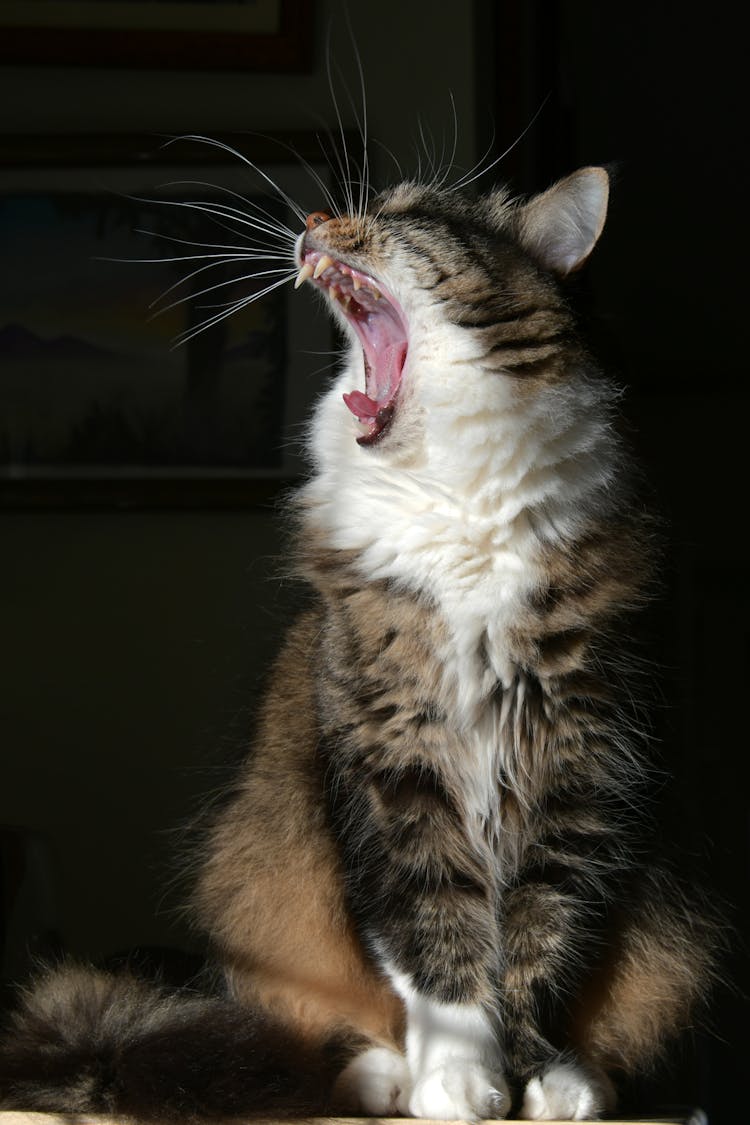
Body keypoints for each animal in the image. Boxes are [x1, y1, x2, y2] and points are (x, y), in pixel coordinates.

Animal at [0, 158, 715, 1116]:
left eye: (407, 216)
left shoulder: (582, 767)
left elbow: (541, 945)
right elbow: (433, 943)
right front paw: (459, 1080)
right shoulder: (392, 762)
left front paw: (534, 1076)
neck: (456, 504)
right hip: (260, 870)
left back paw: (579, 1079)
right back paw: (382, 1078)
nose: (313, 218)